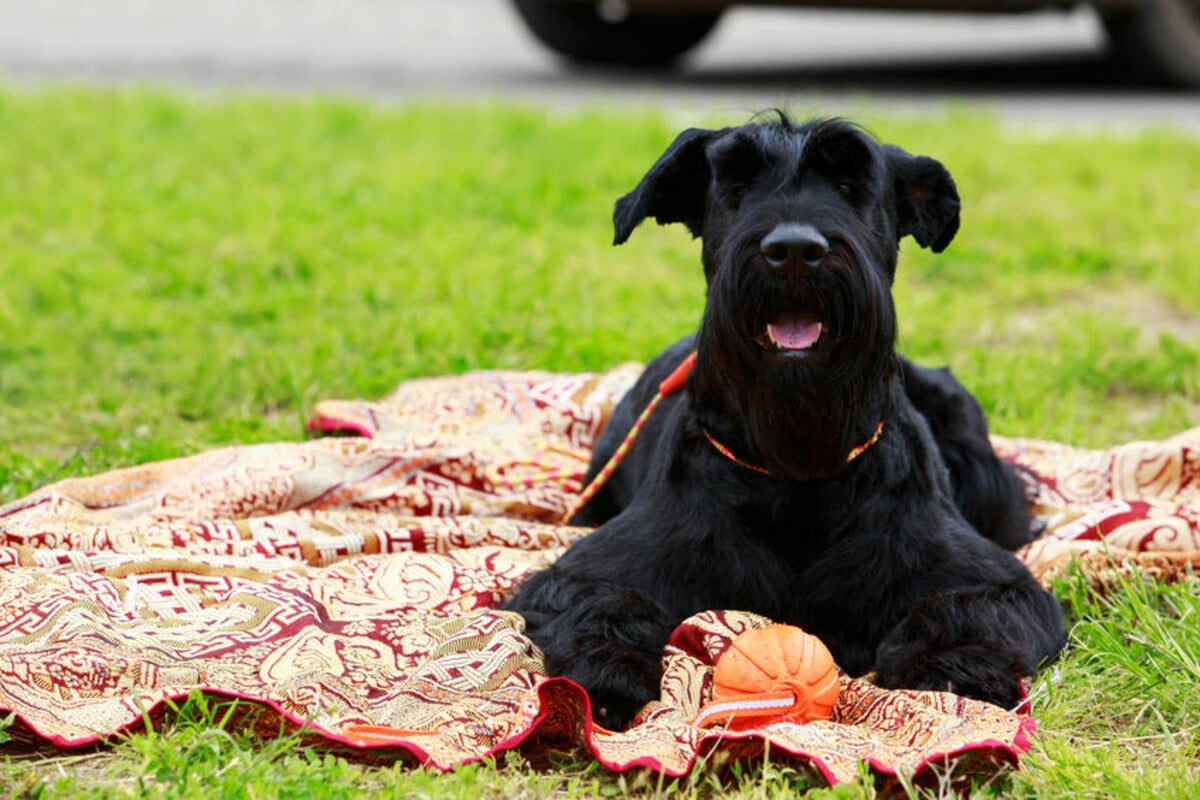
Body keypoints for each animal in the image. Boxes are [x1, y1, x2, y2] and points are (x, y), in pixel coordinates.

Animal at [501, 113, 1065, 734]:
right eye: (738, 185)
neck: (797, 469)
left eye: (850, 184)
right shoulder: (591, 570)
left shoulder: (994, 580)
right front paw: (607, 674)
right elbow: (604, 600)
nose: (794, 250)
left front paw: (949, 670)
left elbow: (961, 607)